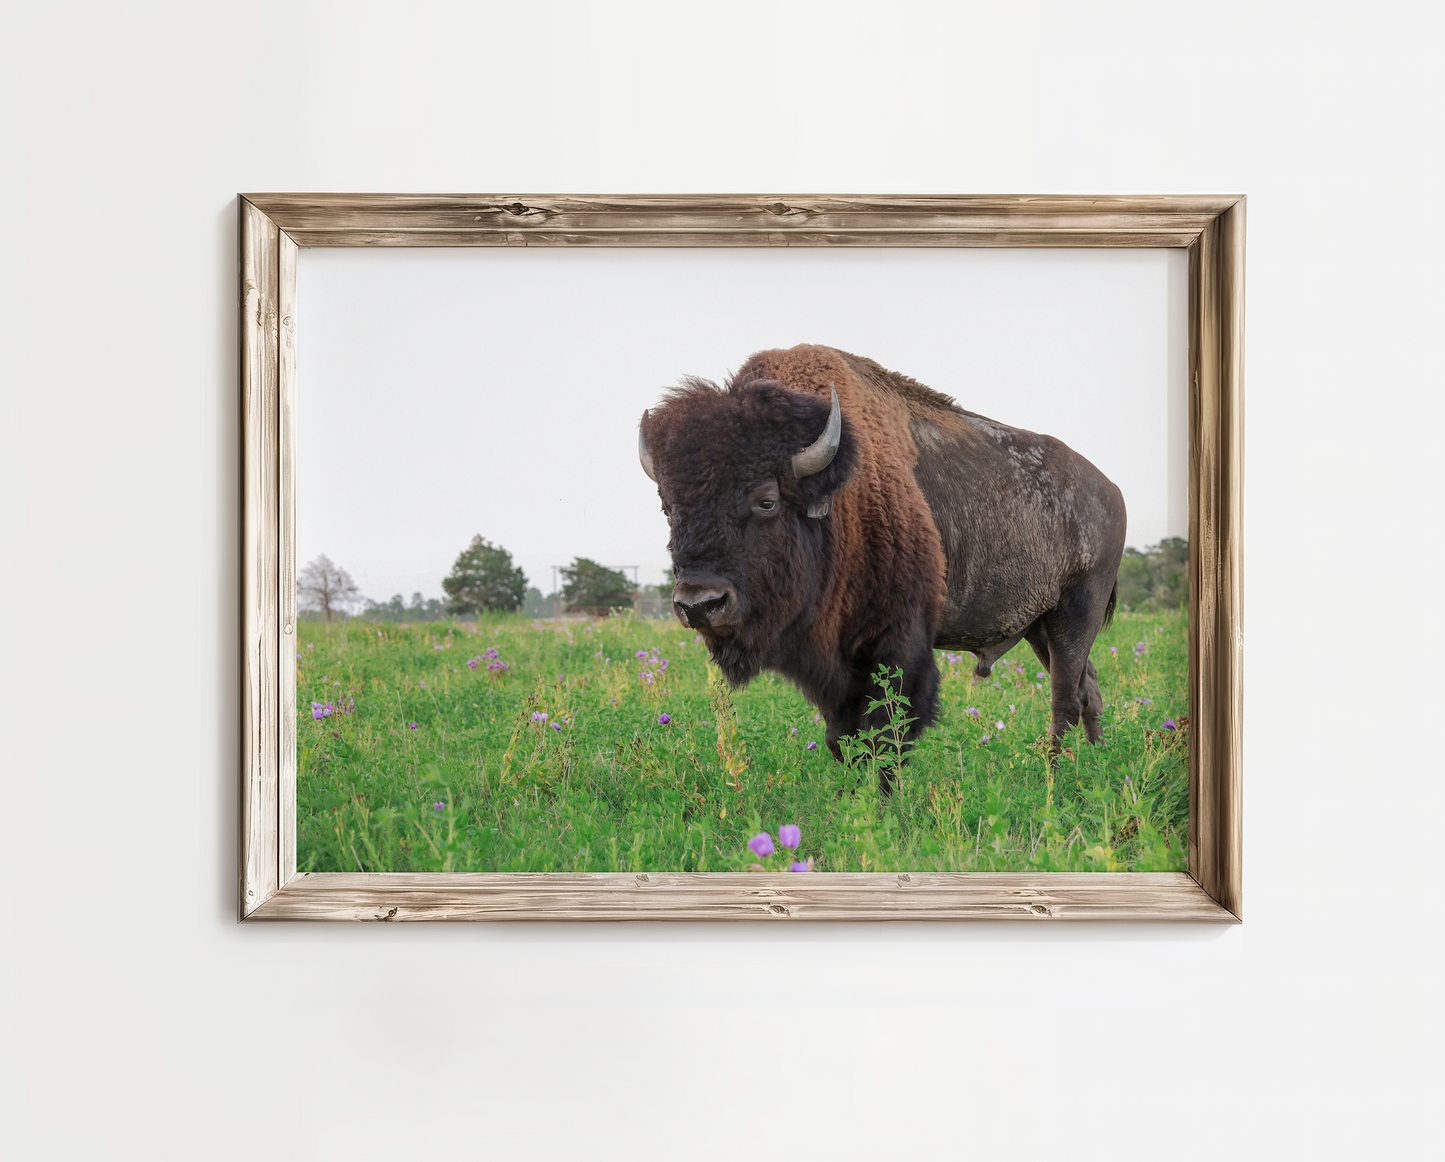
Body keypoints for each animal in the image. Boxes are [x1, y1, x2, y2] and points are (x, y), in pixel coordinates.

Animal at [635, 341, 1127, 786]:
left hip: (1075, 612)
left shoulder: (898, 643)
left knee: (1065, 698)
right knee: (1088, 689)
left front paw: (886, 804)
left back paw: (1054, 776)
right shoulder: (833, 664)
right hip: (1040, 626)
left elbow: (885, 735)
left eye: (767, 500)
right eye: (667, 507)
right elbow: (842, 738)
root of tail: (1112, 490)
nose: (700, 604)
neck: (838, 499)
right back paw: (1096, 761)